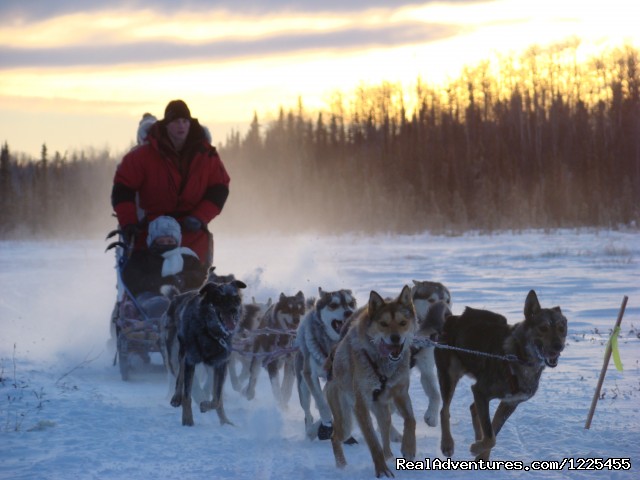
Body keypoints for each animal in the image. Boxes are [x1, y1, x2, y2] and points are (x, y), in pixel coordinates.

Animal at [161, 280, 246, 426]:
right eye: (219, 299)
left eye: (236, 299)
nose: (234, 310)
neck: (210, 333)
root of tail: (177, 297)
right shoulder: (190, 360)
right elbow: (187, 396)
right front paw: (187, 420)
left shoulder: (220, 364)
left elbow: (217, 399)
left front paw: (208, 408)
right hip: (179, 352)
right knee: (179, 375)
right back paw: (176, 397)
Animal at [294, 286, 356, 440]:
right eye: (333, 305)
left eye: (351, 303)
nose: (349, 312)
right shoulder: (310, 374)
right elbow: (321, 402)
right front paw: (326, 418)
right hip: (303, 387)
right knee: (308, 413)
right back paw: (310, 430)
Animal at [328, 286, 418, 478]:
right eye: (383, 324)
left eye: (403, 323)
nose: (395, 338)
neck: (383, 364)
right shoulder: (361, 405)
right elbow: (372, 441)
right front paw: (382, 470)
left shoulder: (401, 393)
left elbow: (411, 420)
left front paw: (408, 449)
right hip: (346, 422)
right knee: (335, 437)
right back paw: (341, 465)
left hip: (384, 413)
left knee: (385, 434)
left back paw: (390, 456)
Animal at [410, 280, 450, 426]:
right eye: (431, 300)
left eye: (447, 300)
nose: (448, 314)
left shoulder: (426, 369)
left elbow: (436, 395)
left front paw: (432, 416)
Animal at [438, 288, 568, 462]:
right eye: (543, 328)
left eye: (562, 328)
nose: (558, 346)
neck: (522, 359)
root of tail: (453, 318)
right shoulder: (481, 391)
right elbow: (490, 436)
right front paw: (476, 448)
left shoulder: (509, 403)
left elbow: (492, 433)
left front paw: (481, 456)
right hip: (449, 376)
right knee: (444, 411)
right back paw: (447, 444)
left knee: (473, 409)